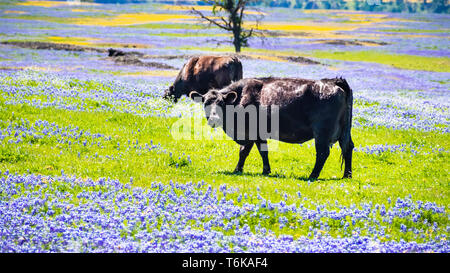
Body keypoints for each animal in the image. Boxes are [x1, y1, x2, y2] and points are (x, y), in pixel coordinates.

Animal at [190, 76, 356, 180]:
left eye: (221, 103)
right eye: (206, 103)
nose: (213, 119)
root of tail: (334, 82)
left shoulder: (252, 132)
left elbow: (248, 152)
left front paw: (249, 170)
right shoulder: (257, 134)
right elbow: (254, 152)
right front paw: (247, 169)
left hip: (322, 132)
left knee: (322, 153)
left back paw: (312, 176)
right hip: (344, 131)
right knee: (348, 147)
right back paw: (347, 175)